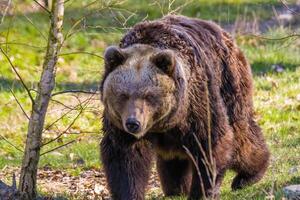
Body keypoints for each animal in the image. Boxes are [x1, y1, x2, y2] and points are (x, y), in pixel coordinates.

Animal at [99, 15, 270, 200]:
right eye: (123, 94)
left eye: (148, 95)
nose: (133, 123)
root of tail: (221, 31)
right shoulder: (120, 125)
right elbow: (125, 157)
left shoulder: (197, 102)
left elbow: (210, 143)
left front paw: (202, 192)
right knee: (174, 156)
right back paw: (176, 188)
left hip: (229, 81)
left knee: (241, 135)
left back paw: (248, 176)